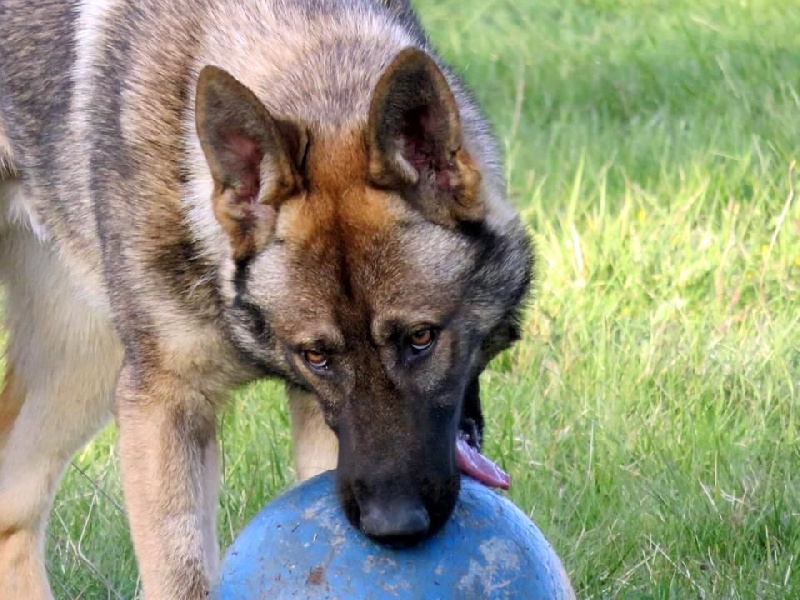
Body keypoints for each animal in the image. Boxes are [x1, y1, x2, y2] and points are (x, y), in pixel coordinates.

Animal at [3, 0, 536, 596]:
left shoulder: (318, 423)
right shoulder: (163, 405)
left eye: (421, 338)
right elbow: (182, 576)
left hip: (81, 363)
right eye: (317, 355)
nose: (392, 526)